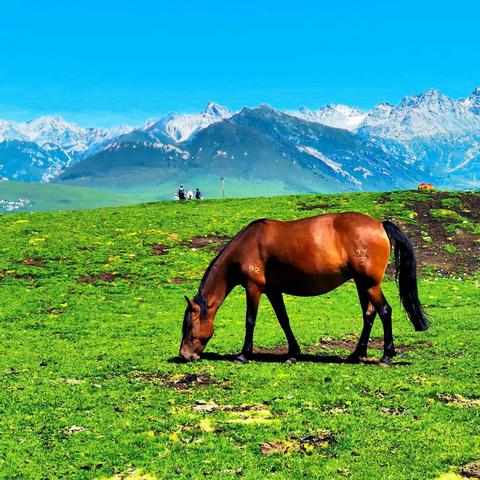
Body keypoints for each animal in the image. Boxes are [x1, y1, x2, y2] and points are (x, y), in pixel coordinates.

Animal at [179, 214, 428, 364]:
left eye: (190, 331)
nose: (184, 355)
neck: (246, 244)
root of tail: (379, 224)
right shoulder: (273, 290)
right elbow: (283, 320)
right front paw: (293, 353)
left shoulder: (254, 287)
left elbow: (250, 320)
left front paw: (243, 354)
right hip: (362, 284)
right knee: (369, 314)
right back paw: (357, 353)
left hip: (370, 284)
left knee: (385, 311)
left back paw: (386, 355)